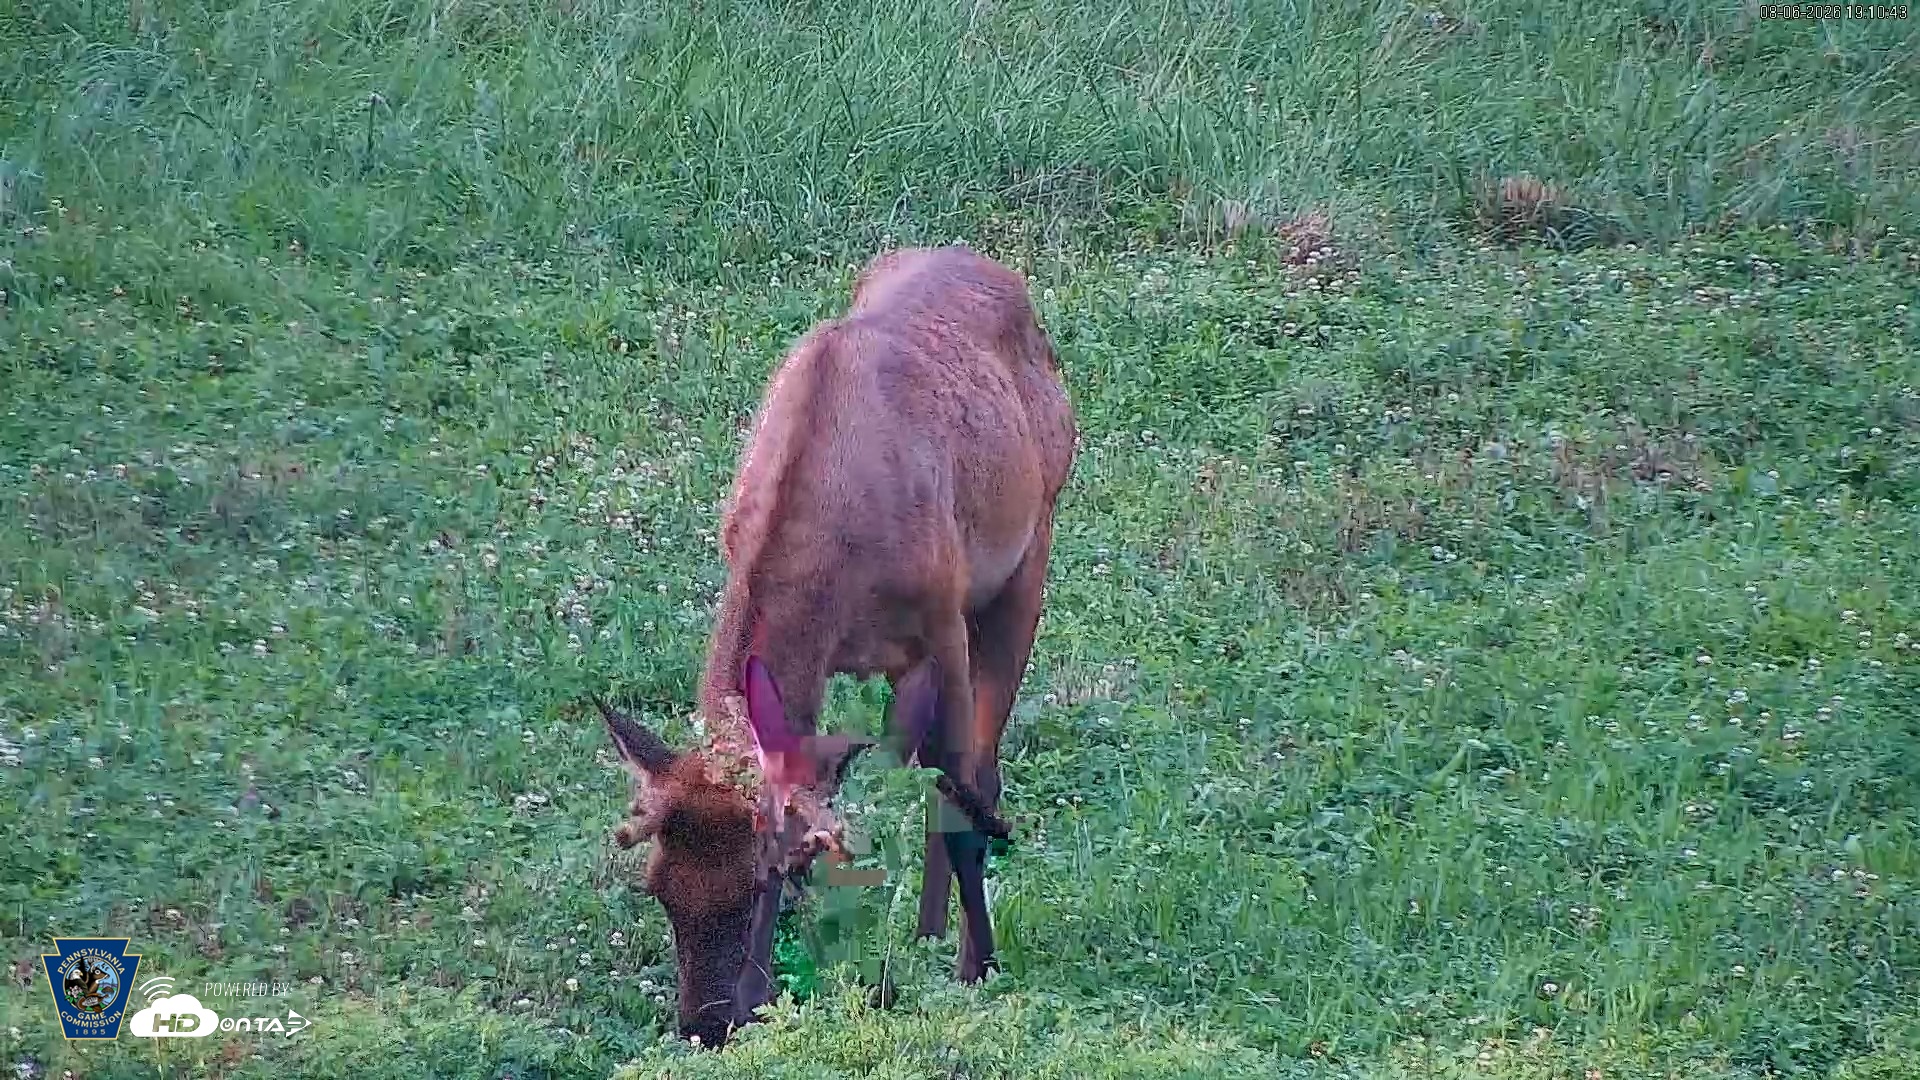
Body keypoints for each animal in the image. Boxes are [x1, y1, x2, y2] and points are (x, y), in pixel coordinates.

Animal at [592, 244, 1076, 1049]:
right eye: (657, 886)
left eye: (764, 882)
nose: (705, 1027)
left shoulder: (944, 616)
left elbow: (959, 795)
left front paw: (980, 971)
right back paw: (923, 936)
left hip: (1029, 550)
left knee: (976, 772)